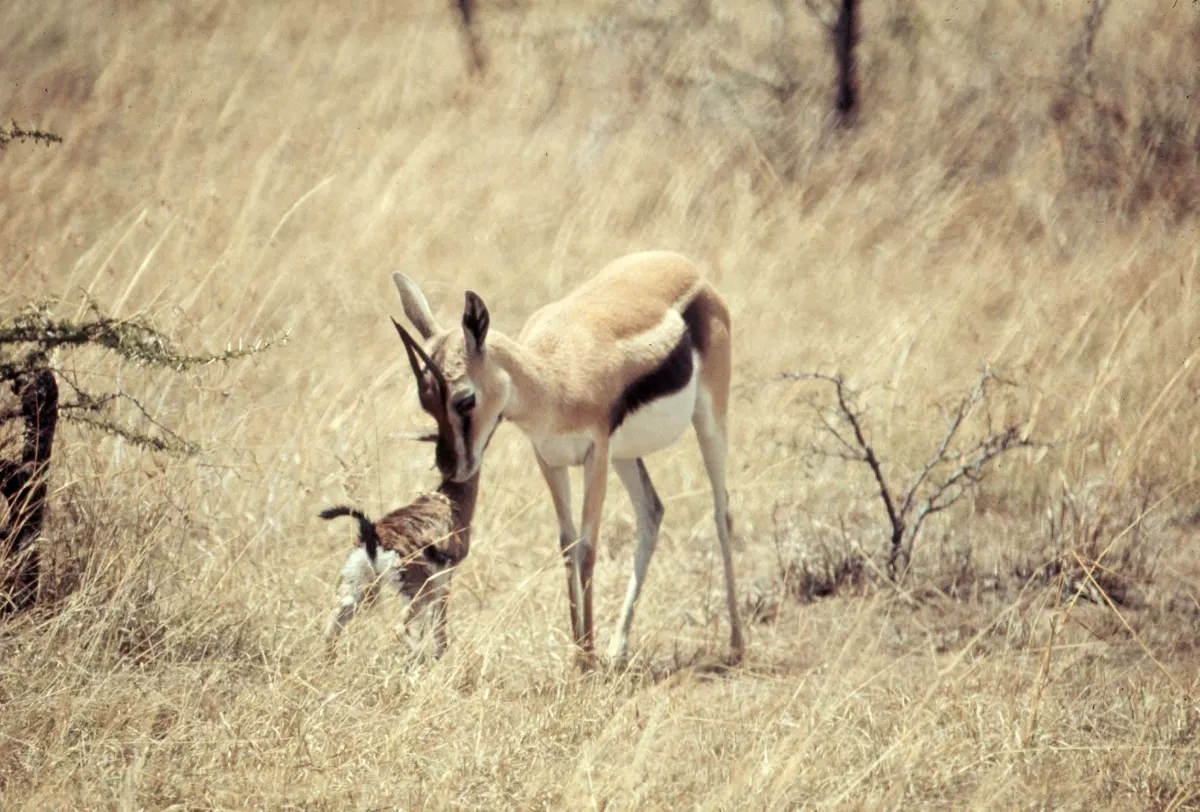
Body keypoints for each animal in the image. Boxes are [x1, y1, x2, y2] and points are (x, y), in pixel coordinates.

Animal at [389, 250, 743, 669]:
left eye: (464, 399)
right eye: (426, 402)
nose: (450, 467)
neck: (554, 380)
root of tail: (686, 266)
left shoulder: (596, 456)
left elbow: (588, 549)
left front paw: (587, 656)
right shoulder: (550, 459)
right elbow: (567, 544)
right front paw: (579, 652)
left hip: (709, 420)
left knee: (721, 513)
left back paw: (736, 644)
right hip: (626, 456)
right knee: (652, 511)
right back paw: (618, 647)